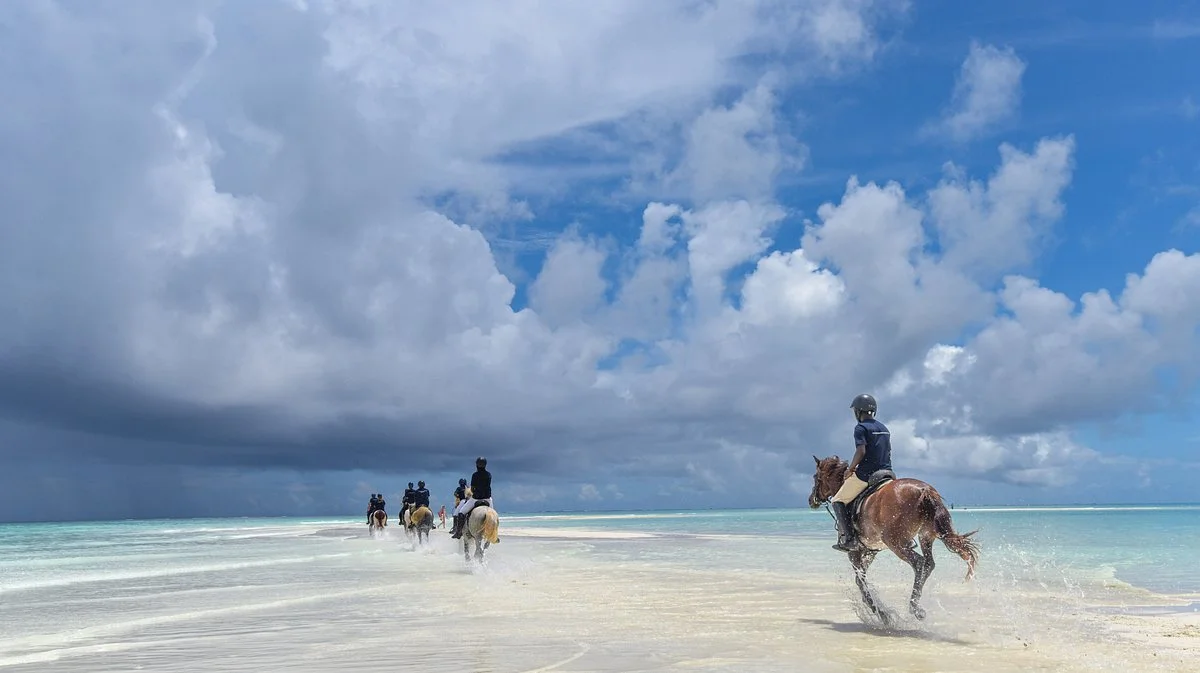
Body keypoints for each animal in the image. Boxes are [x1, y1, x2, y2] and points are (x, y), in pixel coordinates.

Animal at [808, 455, 980, 624]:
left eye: (816, 477)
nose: (811, 500)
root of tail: (925, 490)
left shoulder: (854, 552)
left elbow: (860, 581)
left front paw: (881, 614)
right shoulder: (870, 550)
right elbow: (860, 579)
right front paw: (879, 610)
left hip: (895, 543)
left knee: (919, 563)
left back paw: (914, 608)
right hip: (925, 535)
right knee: (929, 564)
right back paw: (916, 605)